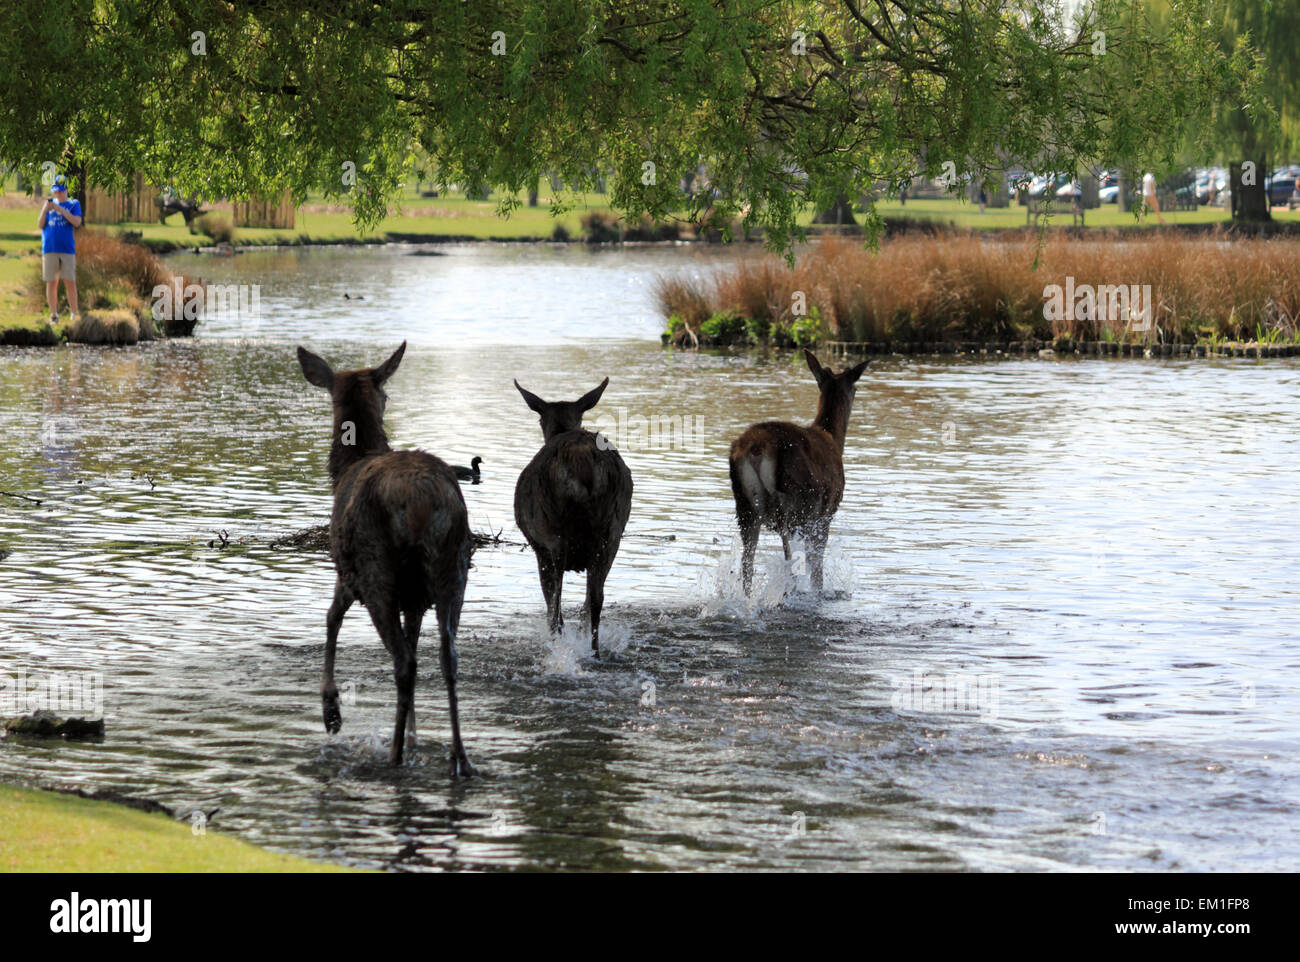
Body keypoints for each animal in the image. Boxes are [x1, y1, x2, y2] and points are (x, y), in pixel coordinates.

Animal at [296, 343, 478, 780]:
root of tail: (421, 502)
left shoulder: (347, 572)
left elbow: (330, 618)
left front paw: (331, 712)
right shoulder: (414, 601)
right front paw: (414, 732)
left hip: (377, 570)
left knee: (404, 662)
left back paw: (394, 756)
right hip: (453, 569)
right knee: (447, 656)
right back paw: (459, 758)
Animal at [509, 377, 631, 652]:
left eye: (540, 420)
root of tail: (581, 458)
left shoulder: (539, 549)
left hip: (553, 534)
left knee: (556, 604)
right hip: (611, 534)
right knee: (595, 599)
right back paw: (594, 650)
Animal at [728, 348, 868, 592]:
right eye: (855, 388)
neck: (833, 438)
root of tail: (755, 449)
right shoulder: (824, 516)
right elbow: (816, 567)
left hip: (744, 505)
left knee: (747, 564)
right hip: (790, 501)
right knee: (789, 562)